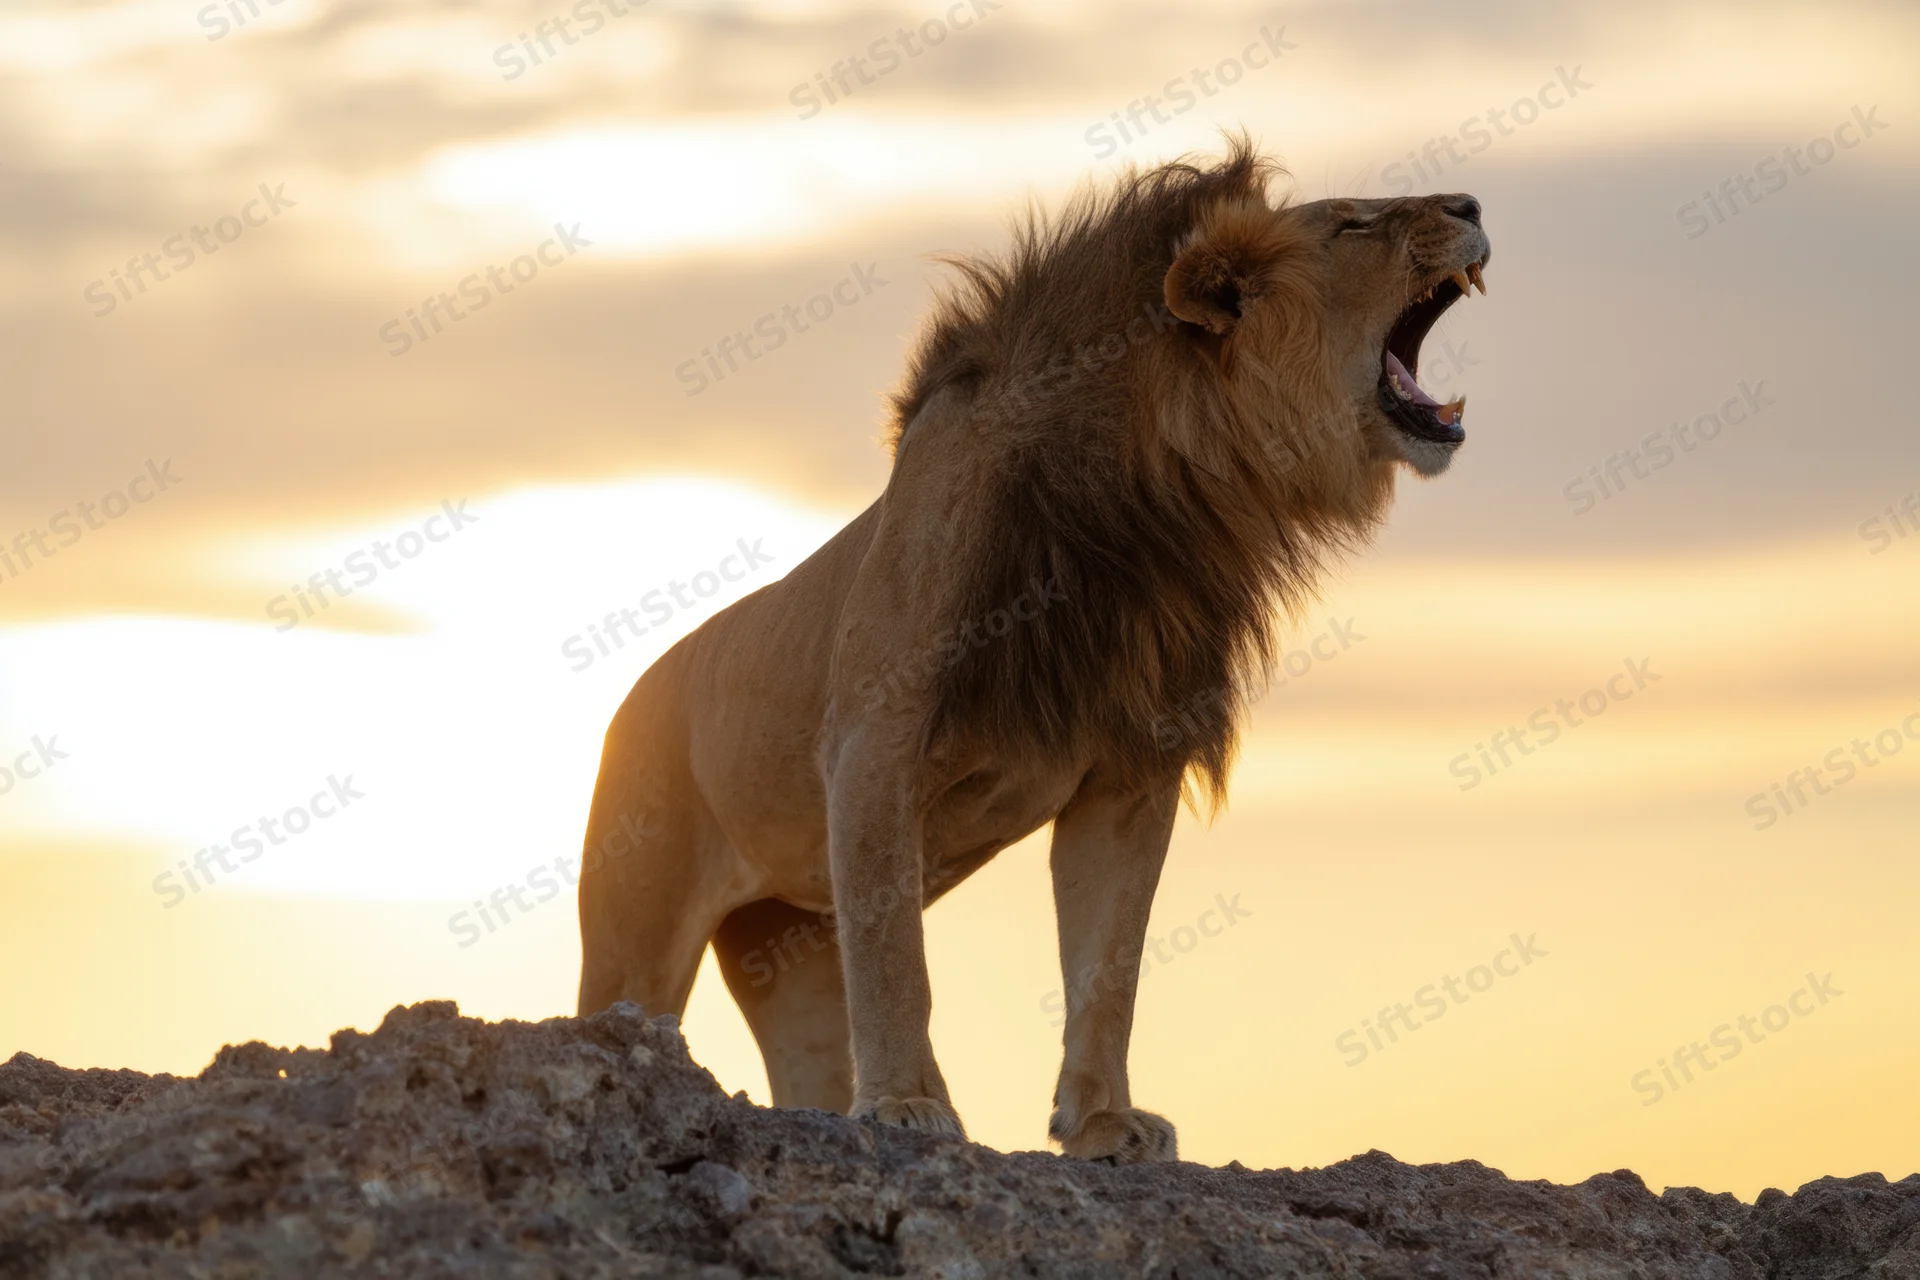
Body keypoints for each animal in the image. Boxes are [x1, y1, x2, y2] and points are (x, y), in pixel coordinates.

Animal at [576, 140, 1490, 1162]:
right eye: (1352, 225)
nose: (1471, 203)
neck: (1154, 511)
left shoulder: (1130, 772)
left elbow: (1109, 965)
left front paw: (1102, 1122)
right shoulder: (873, 745)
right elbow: (899, 962)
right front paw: (908, 1105)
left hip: (790, 939)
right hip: (637, 927)